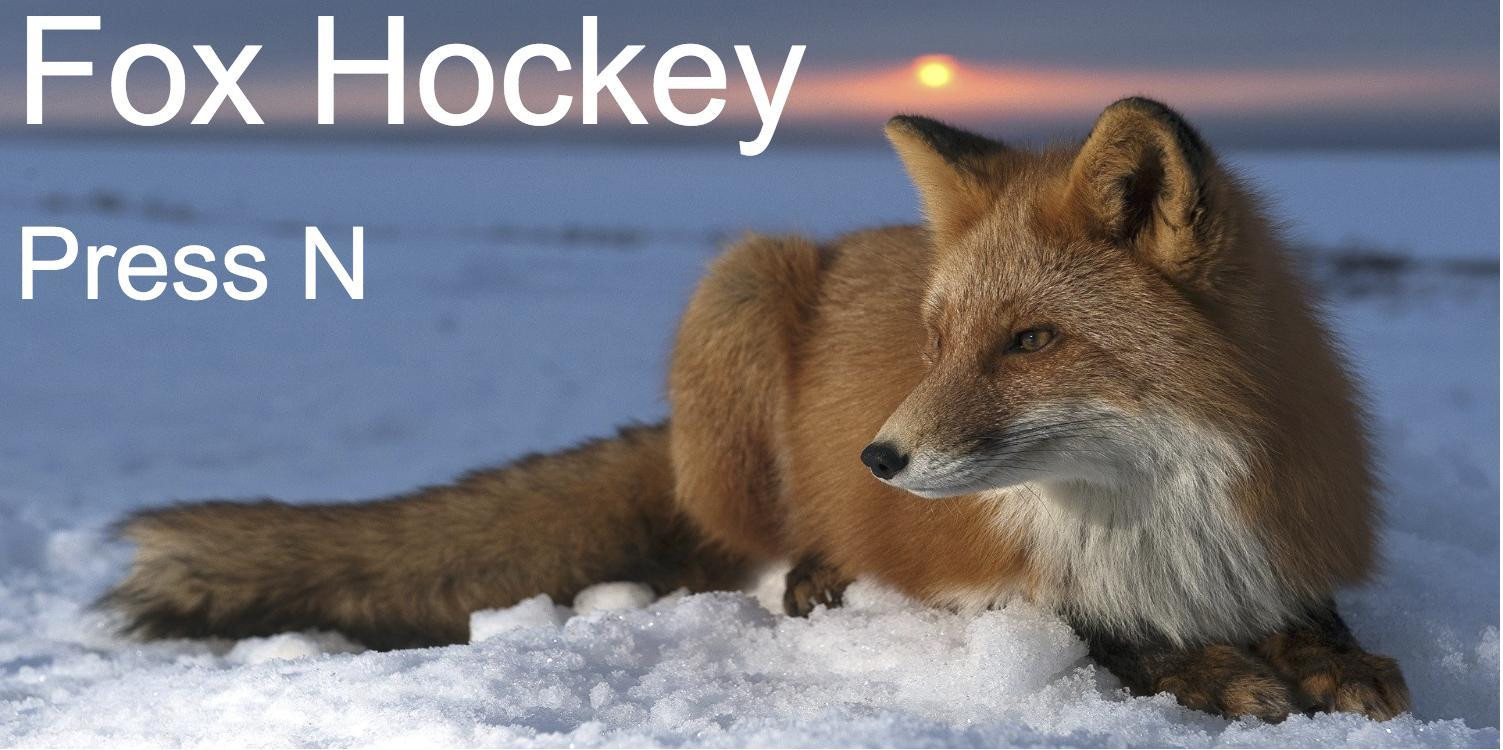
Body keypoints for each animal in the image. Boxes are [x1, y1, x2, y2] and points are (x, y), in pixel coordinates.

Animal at [104, 97, 1409, 723]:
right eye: (938, 342)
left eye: (1032, 340)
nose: (879, 456)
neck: (1157, 517)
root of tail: (848, 240)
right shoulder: (1004, 583)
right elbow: (1112, 637)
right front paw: (1220, 674)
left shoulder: (1284, 536)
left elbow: (1321, 620)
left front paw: (1331, 665)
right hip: (739, 288)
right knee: (738, 548)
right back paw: (814, 573)